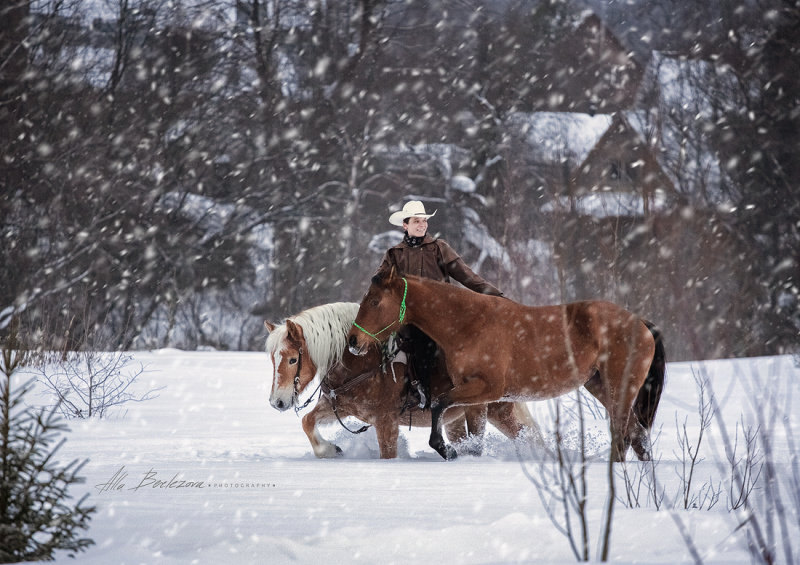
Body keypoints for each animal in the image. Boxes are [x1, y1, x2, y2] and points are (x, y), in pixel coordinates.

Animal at [266, 302, 540, 456]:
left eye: (292, 359)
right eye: (272, 359)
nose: (277, 402)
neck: (364, 362)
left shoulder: (386, 422)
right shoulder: (342, 407)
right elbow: (308, 421)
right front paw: (330, 450)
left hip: (496, 410)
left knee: (527, 436)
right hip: (457, 418)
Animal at [346, 270, 664, 462]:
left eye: (374, 301)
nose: (353, 341)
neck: (468, 324)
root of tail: (640, 323)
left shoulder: (487, 388)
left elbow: (438, 405)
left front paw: (447, 450)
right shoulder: (477, 398)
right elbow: (472, 435)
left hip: (620, 388)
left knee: (623, 434)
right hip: (599, 385)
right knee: (635, 434)